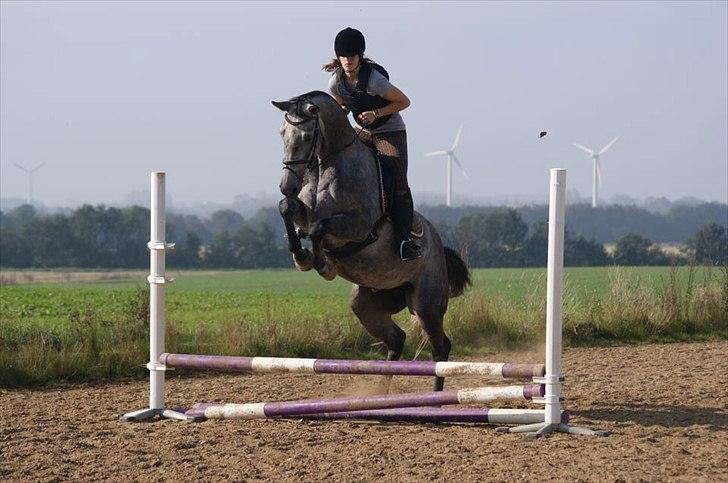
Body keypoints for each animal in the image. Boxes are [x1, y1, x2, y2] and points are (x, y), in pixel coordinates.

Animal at [272, 91, 472, 394]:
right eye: (282, 133)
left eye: (306, 137)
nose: (287, 185)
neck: (328, 166)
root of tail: (439, 246)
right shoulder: (302, 211)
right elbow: (287, 208)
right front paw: (301, 255)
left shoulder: (359, 226)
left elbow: (320, 228)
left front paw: (319, 262)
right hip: (367, 302)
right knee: (397, 338)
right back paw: (380, 393)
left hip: (425, 303)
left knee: (440, 346)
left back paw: (435, 397)